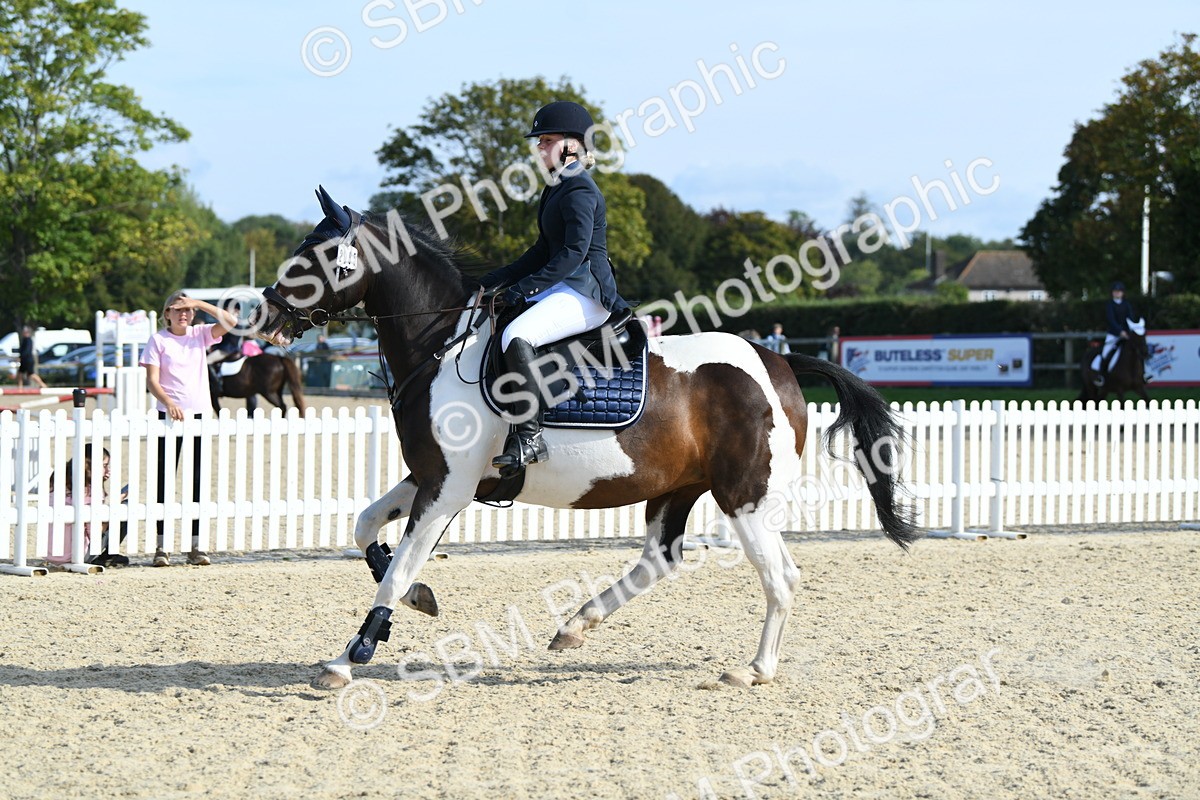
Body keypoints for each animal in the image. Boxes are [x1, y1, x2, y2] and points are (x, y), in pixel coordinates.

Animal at [257, 188, 919, 691]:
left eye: (317, 255)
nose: (265, 315)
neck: (440, 345)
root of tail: (778, 361)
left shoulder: (447, 488)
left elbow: (397, 568)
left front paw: (350, 657)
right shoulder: (429, 476)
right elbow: (367, 528)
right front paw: (419, 596)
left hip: (744, 497)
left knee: (780, 577)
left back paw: (753, 669)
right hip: (680, 487)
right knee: (661, 558)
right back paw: (577, 624)